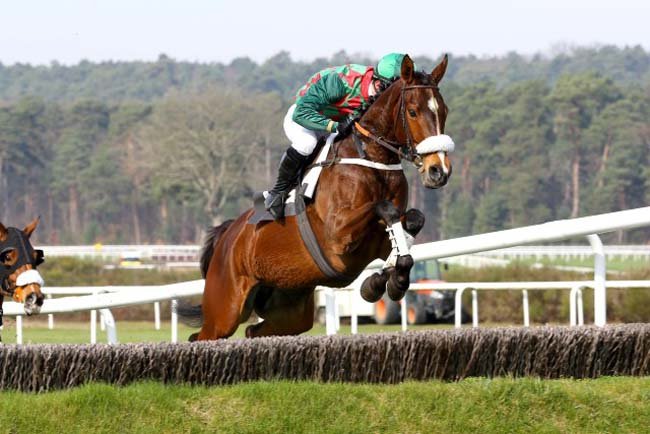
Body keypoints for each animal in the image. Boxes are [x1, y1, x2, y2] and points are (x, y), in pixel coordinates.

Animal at [180, 54, 453, 340]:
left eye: (444, 111)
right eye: (412, 111)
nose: (438, 171)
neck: (372, 159)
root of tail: (228, 234)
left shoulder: (373, 242)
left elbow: (411, 227)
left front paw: (386, 279)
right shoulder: (338, 235)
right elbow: (385, 207)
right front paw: (379, 282)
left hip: (290, 311)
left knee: (253, 331)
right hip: (225, 310)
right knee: (203, 336)